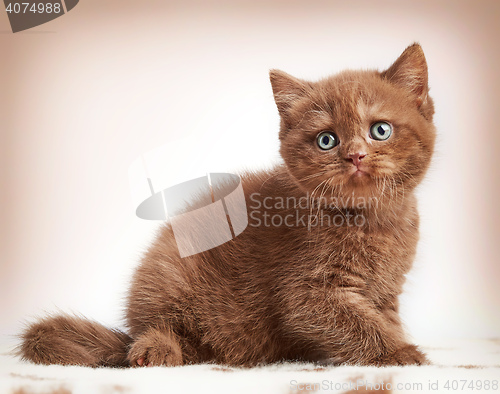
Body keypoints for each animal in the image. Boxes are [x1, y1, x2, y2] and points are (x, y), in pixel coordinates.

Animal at [18, 44, 434, 368]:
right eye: (326, 140)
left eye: (380, 130)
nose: (355, 156)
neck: (375, 221)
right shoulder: (306, 292)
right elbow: (356, 323)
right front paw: (400, 353)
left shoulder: (386, 291)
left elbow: (382, 319)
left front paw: (398, 343)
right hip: (168, 271)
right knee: (155, 330)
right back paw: (155, 350)